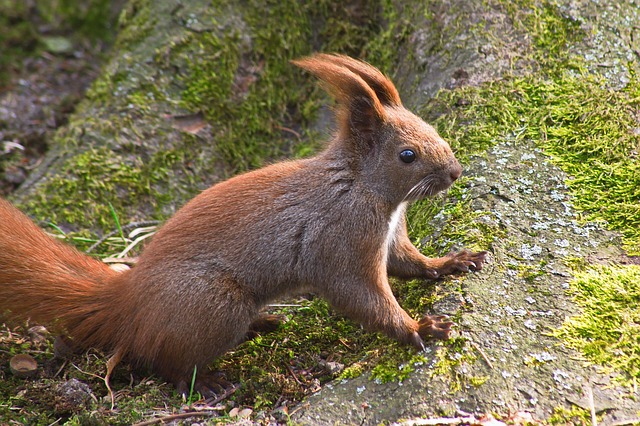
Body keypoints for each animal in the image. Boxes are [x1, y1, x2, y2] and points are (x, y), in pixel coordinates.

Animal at [0, 54, 486, 395]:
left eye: (430, 126)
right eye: (407, 155)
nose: (455, 172)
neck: (361, 185)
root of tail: (127, 299)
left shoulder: (390, 237)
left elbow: (409, 262)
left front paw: (450, 262)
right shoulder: (340, 239)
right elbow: (361, 295)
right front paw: (418, 328)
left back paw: (261, 325)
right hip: (215, 305)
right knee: (163, 360)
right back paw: (206, 380)